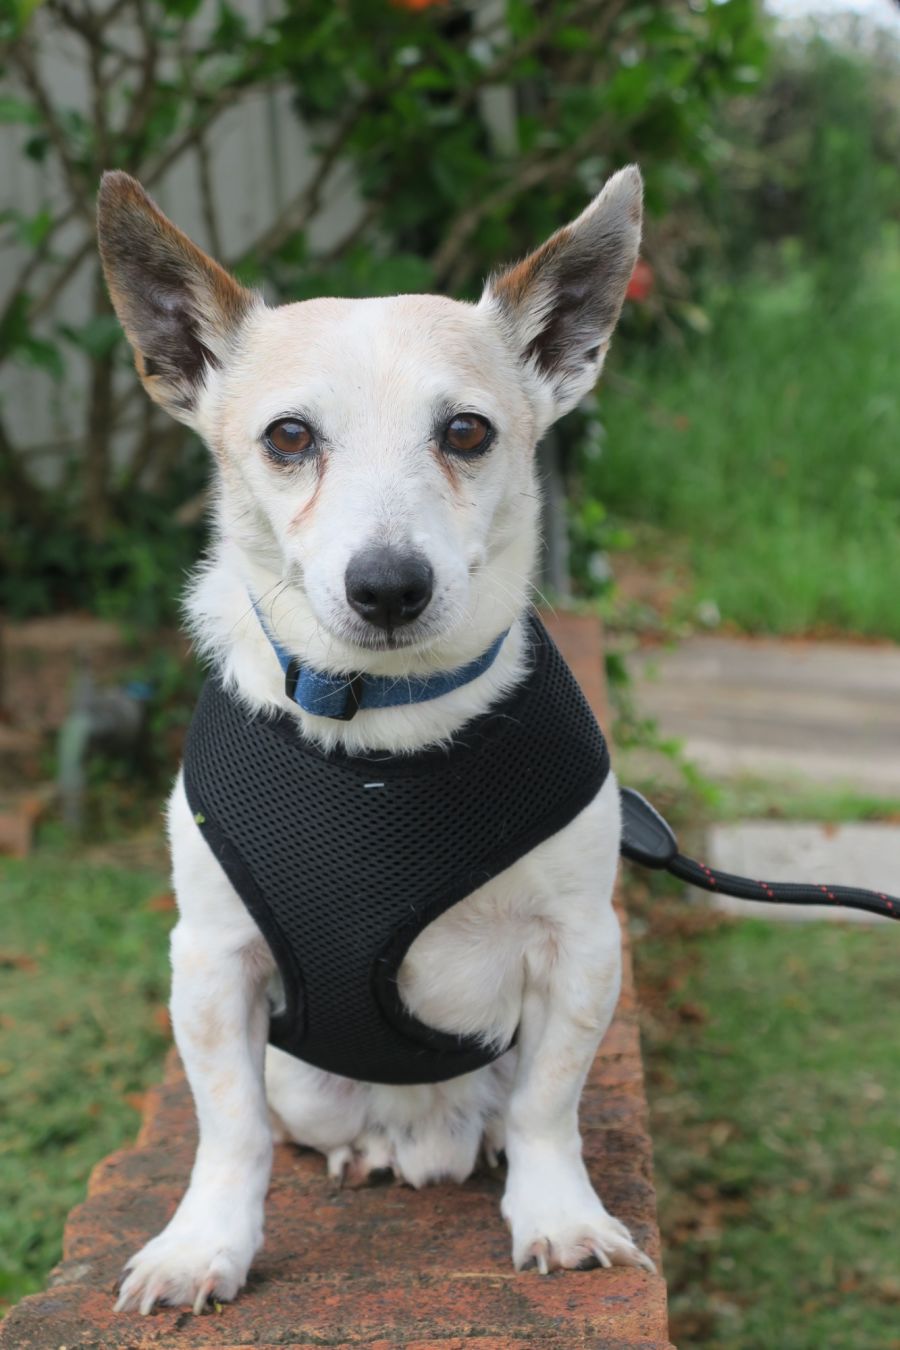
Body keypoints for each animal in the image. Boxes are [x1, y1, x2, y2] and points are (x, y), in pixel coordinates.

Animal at [97, 162, 650, 1315]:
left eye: (468, 433)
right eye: (289, 437)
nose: (389, 586)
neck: (389, 733)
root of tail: (421, 1128)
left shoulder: (581, 947)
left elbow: (549, 1106)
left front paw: (559, 1216)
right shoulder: (210, 962)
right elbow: (230, 1131)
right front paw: (203, 1244)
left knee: (504, 1106)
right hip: (304, 1081)